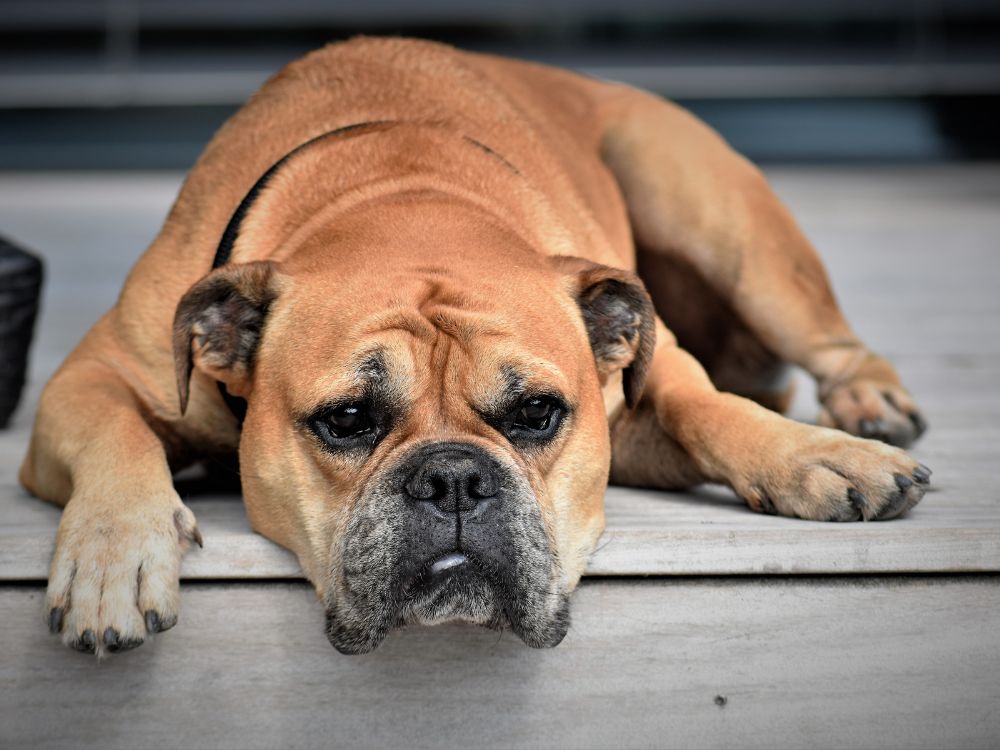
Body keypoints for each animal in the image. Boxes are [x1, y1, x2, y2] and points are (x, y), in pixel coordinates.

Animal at [19, 36, 932, 656]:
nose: (453, 478)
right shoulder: (89, 377)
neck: (402, 197)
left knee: (827, 342)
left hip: (720, 218)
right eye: (347, 420)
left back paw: (866, 407)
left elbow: (706, 405)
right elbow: (115, 432)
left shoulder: (648, 383)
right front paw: (113, 557)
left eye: (537, 413)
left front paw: (815, 456)